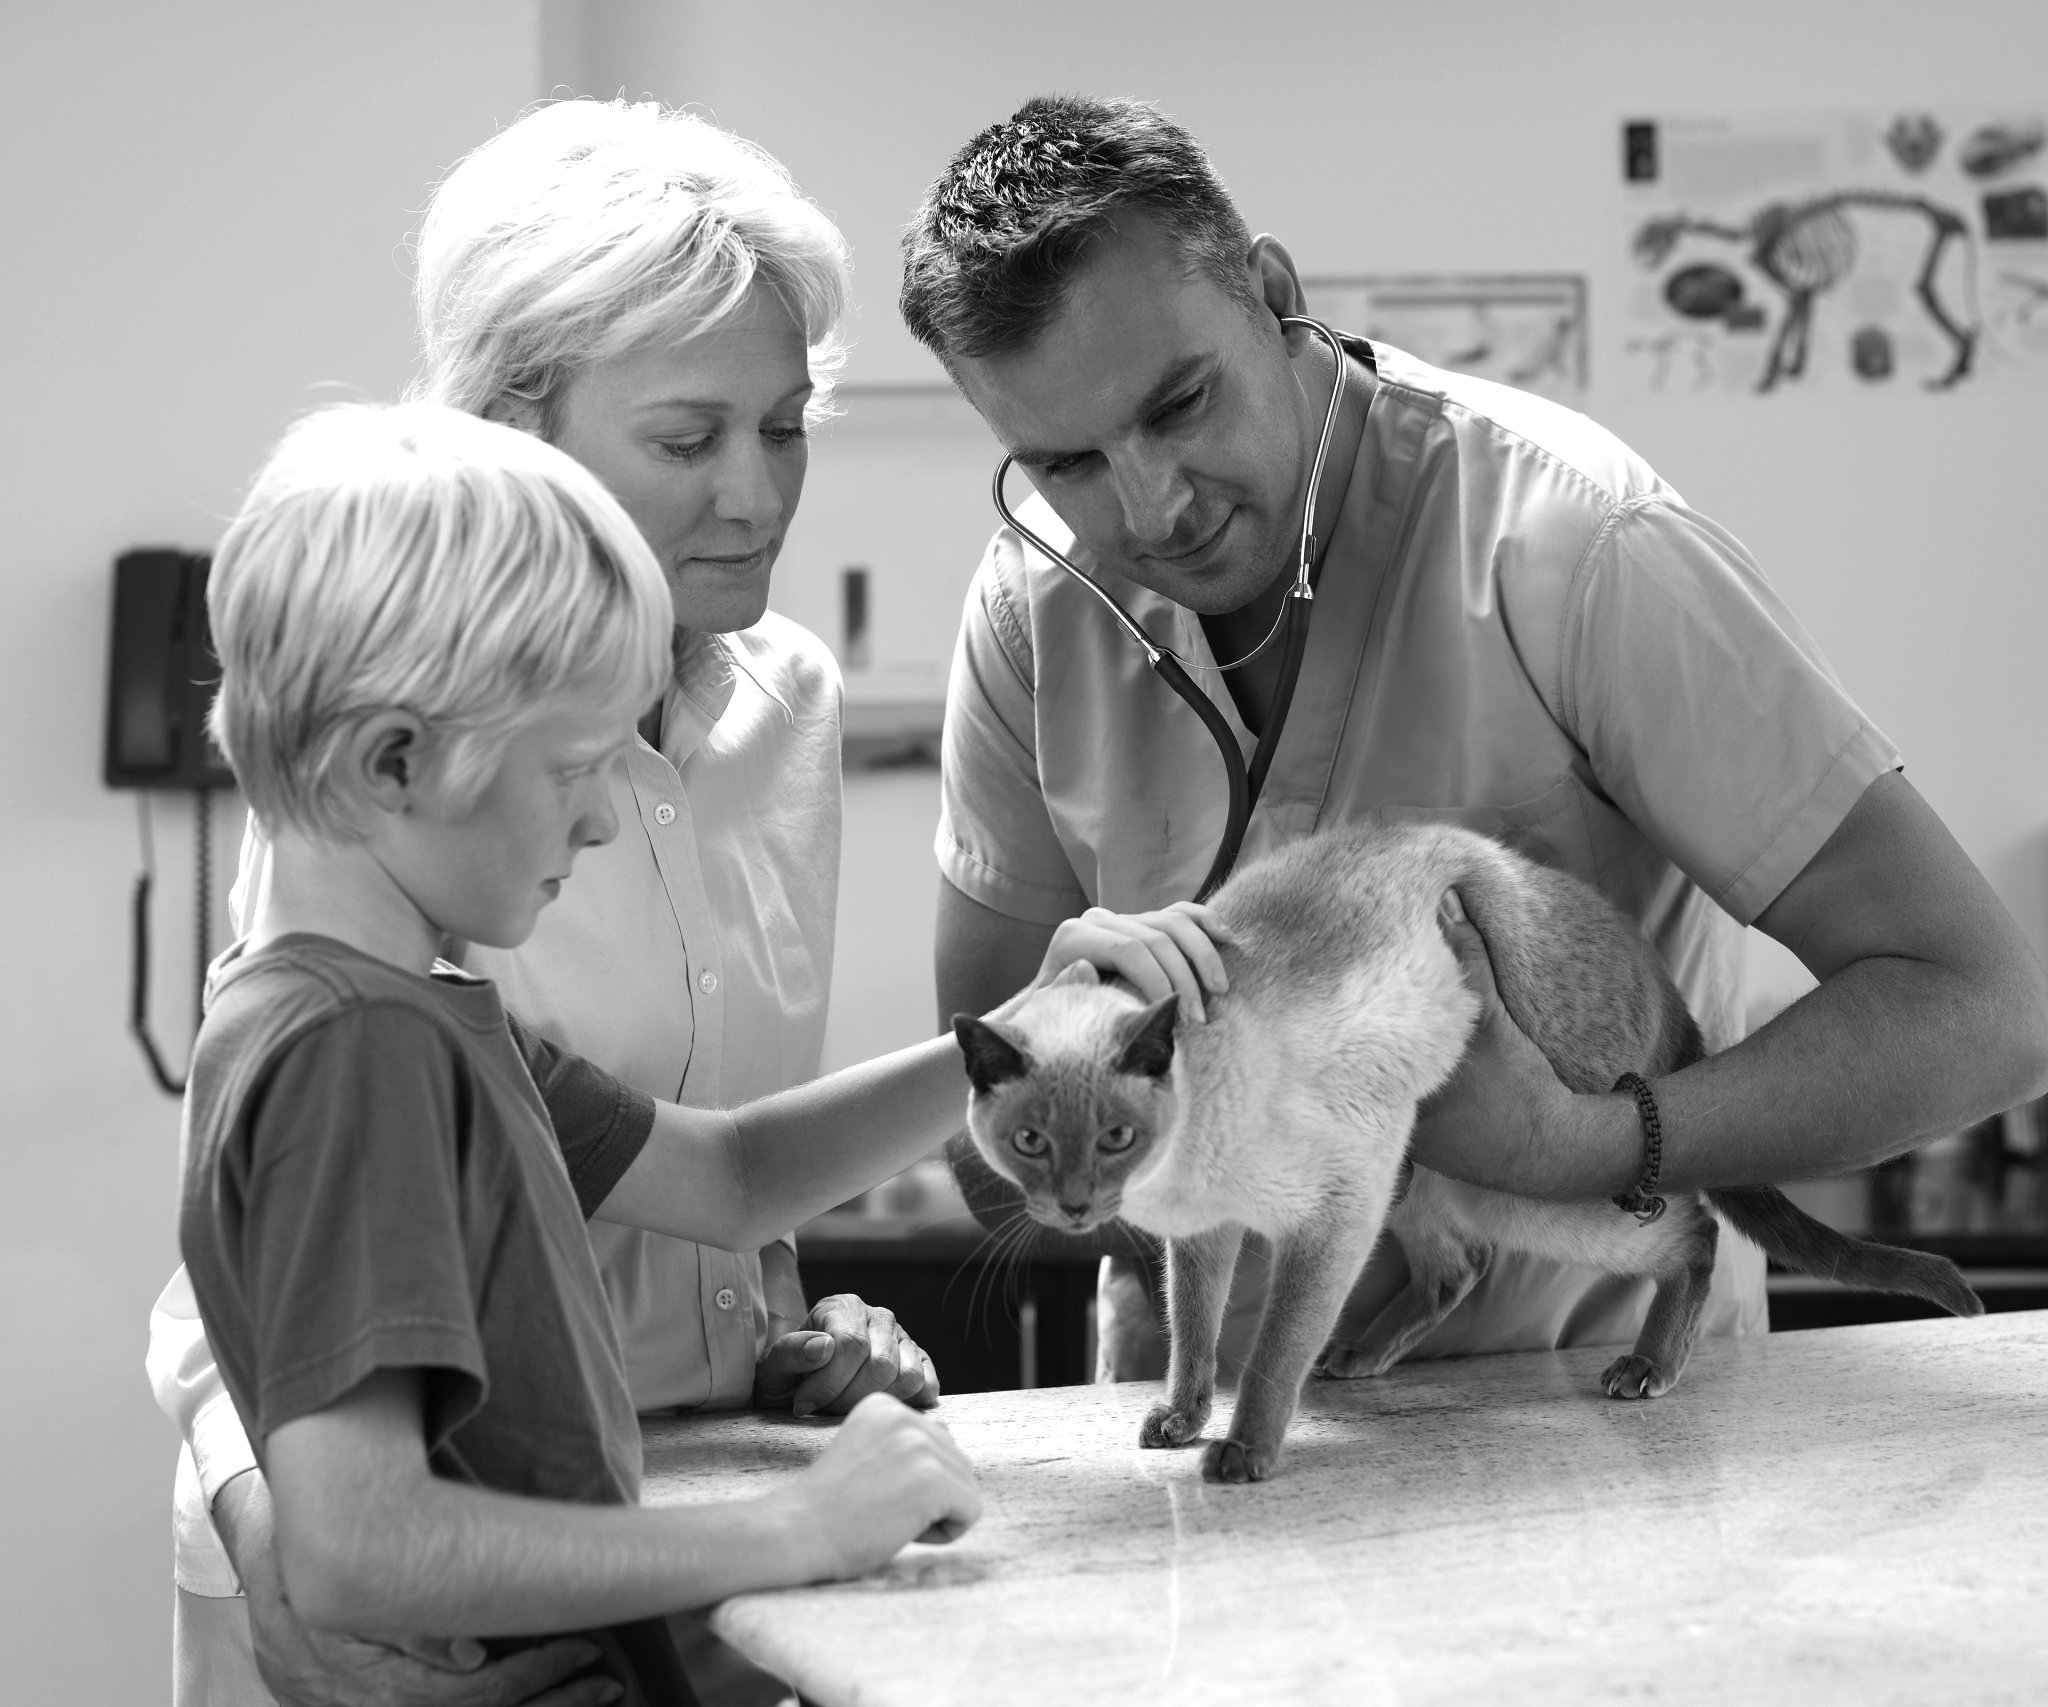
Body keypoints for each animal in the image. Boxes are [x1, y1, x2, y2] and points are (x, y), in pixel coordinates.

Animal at [958, 823, 1982, 1475]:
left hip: (1520, 1179)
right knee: (1459, 1267)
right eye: (1030, 1142)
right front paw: (1178, 1419)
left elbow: (1273, 1348)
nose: (1077, 1207)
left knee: (1693, 1232)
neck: (1181, 1174)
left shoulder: (1334, 1210)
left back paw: (1643, 1368)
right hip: (1427, 1181)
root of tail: (1655, 974)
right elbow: (1196, 1335)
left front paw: (1243, 1452)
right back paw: (1361, 1355)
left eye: (1116, 1136)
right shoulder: (1208, 1236)